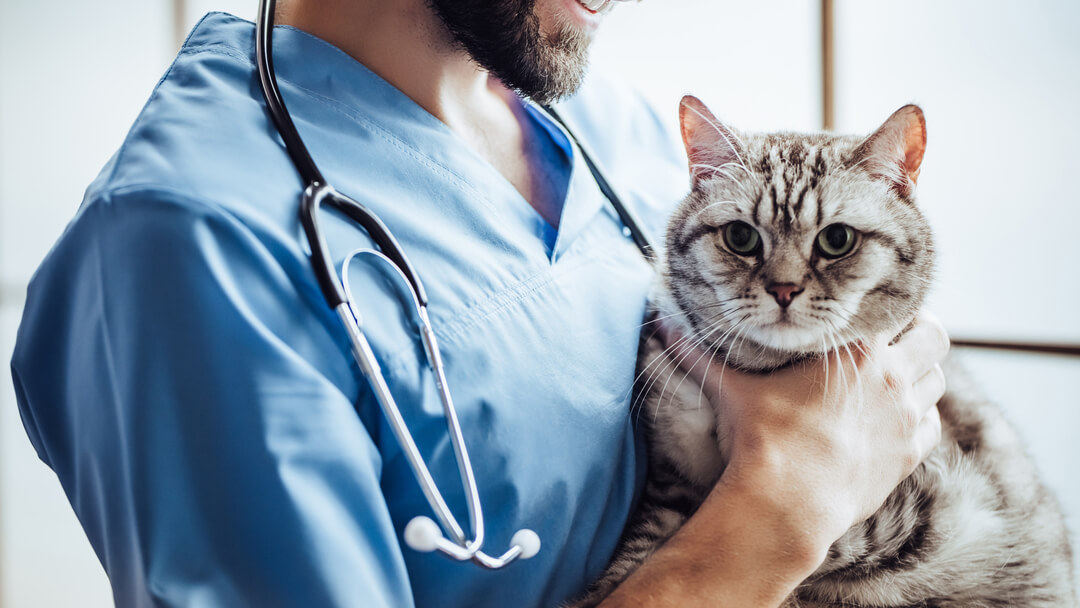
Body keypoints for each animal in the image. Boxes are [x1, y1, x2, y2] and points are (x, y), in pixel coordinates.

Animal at [570, 97, 1075, 604]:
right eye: (740, 237)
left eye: (837, 239)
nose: (784, 288)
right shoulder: (669, 484)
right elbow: (641, 552)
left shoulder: (917, 513)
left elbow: (815, 560)